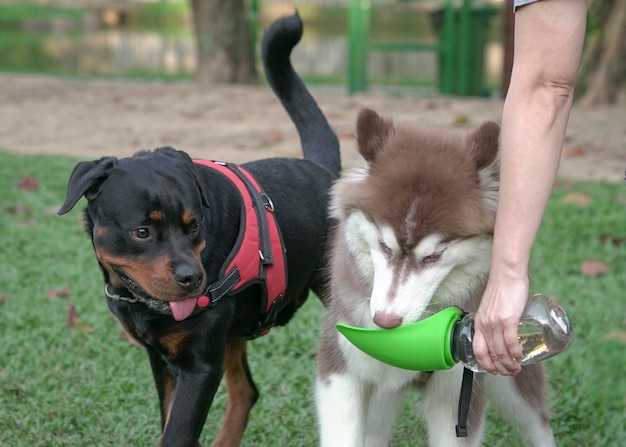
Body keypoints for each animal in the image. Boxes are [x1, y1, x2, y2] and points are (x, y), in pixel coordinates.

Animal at [58, 12, 338, 446]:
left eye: (194, 228)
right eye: (142, 232)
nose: (193, 278)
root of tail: (324, 172)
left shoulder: (199, 367)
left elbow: (175, 434)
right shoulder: (163, 359)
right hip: (234, 333)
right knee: (246, 391)